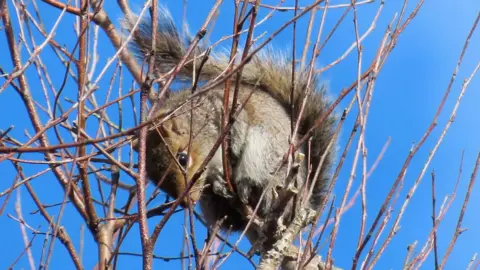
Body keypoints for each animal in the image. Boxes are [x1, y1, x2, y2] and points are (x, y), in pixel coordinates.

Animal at [126, 6, 338, 253]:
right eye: (156, 180)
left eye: (183, 158)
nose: (188, 202)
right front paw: (218, 183)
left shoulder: (229, 110)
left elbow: (239, 128)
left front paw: (234, 150)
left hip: (270, 152)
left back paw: (256, 188)